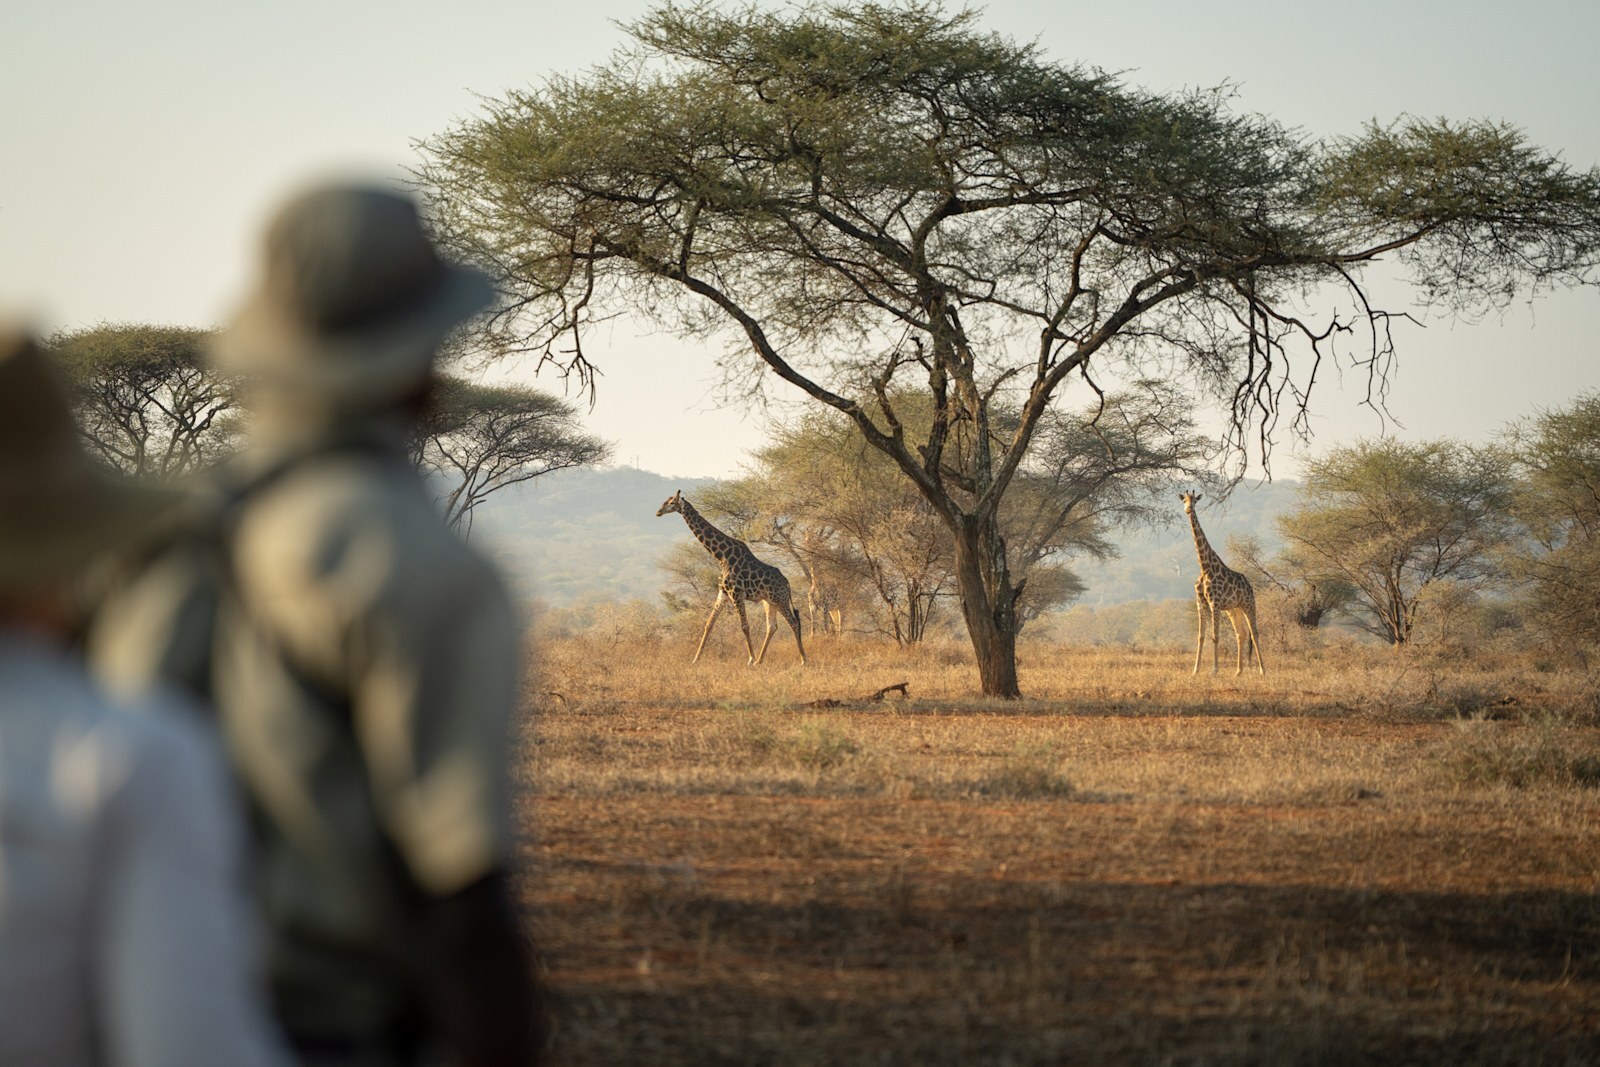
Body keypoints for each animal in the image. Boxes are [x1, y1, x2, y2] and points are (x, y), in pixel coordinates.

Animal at [657, 491, 807, 666]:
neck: (721, 556)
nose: (658, 512)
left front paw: (750, 659)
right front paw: (695, 659)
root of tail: (787, 583)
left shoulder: (736, 593)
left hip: (780, 599)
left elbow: (745, 626)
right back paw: (760, 660)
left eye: (671, 502)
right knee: (772, 626)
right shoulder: (723, 592)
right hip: (769, 601)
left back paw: (803, 659)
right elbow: (709, 624)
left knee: (793, 622)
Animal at [1181, 491, 1266, 676]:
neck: (1205, 566)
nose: (1188, 509)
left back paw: (1263, 670)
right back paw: (1238, 672)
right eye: (1184, 500)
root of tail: (1249, 586)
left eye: (1194, 501)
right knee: (1241, 633)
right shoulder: (1201, 603)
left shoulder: (1215, 603)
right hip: (1234, 609)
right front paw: (1195, 670)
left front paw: (1214, 670)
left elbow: (1215, 636)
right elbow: (1201, 636)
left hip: (1249, 604)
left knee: (1254, 633)